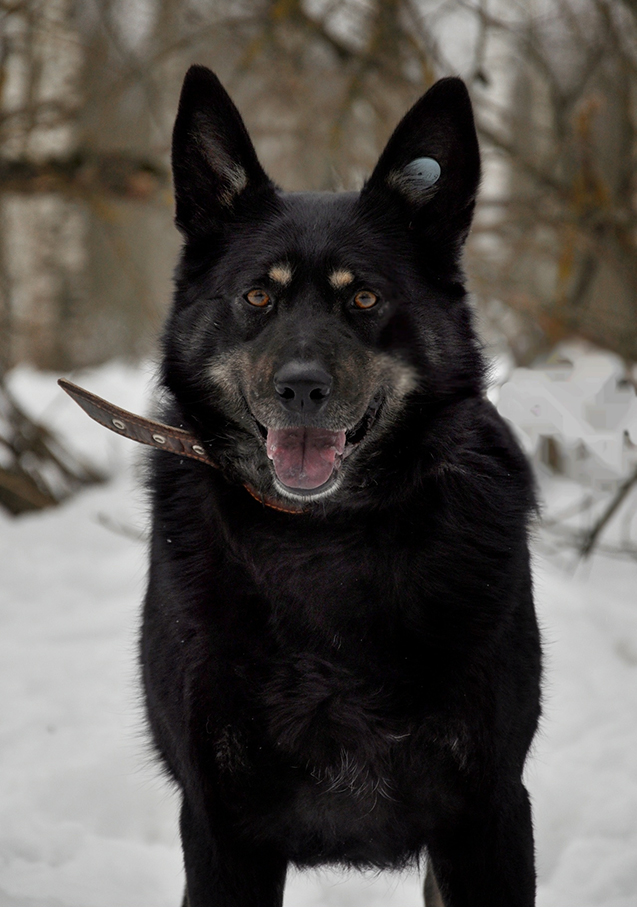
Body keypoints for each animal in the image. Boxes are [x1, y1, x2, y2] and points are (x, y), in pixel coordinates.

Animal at [141, 65, 541, 907]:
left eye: (364, 297)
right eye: (257, 296)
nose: (300, 389)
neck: (321, 540)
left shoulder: (487, 813)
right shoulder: (222, 828)